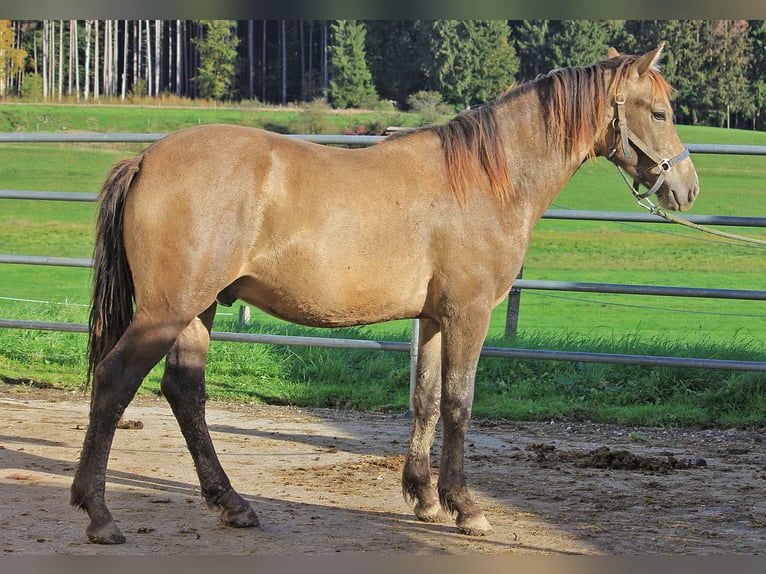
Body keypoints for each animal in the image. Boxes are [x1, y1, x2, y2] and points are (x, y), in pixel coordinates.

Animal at [72, 44, 704, 544]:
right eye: (660, 111)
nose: (687, 188)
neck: (485, 179)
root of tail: (146, 158)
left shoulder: (433, 318)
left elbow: (425, 400)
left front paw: (423, 497)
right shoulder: (469, 314)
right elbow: (459, 404)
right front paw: (465, 507)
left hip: (197, 310)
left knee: (184, 393)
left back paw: (232, 505)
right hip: (168, 310)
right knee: (116, 381)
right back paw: (99, 514)